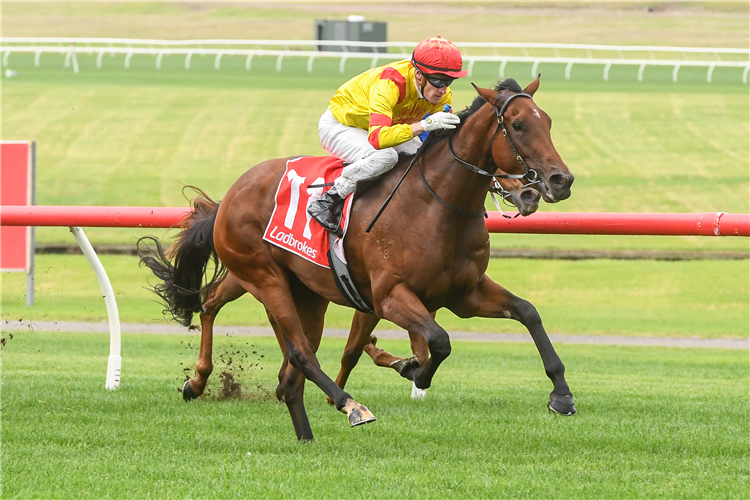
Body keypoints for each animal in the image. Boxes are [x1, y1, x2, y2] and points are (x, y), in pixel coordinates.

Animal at [140, 76, 576, 440]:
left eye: (549, 122)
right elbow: (438, 340)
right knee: (289, 347)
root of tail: (233, 192)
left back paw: (301, 431)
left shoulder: (464, 294)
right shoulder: (387, 296)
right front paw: (411, 369)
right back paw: (348, 405)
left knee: (283, 360)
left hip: (303, 292)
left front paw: (562, 395)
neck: (436, 205)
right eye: (517, 126)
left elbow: (527, 312)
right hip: (263, 276)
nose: (559, 181)